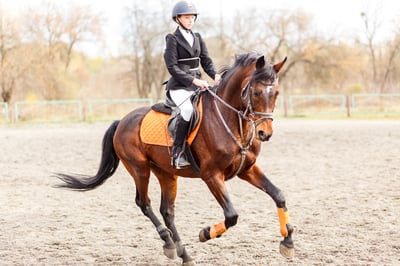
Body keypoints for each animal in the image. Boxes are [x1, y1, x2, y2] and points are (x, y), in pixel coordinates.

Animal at [55, 52, 294, 266]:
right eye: (256, 92)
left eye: (276, 93)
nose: (264, 133)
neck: (232, 121)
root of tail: (121, 121)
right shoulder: (211, 175)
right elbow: (232, 215)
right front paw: (205, 233)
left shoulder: (247, 169)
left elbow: (279, 195)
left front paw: (288, 242)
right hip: (140, 169)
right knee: (144, 203)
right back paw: (169, 244)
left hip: (166, 173)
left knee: (167, 211)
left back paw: (183, 254)